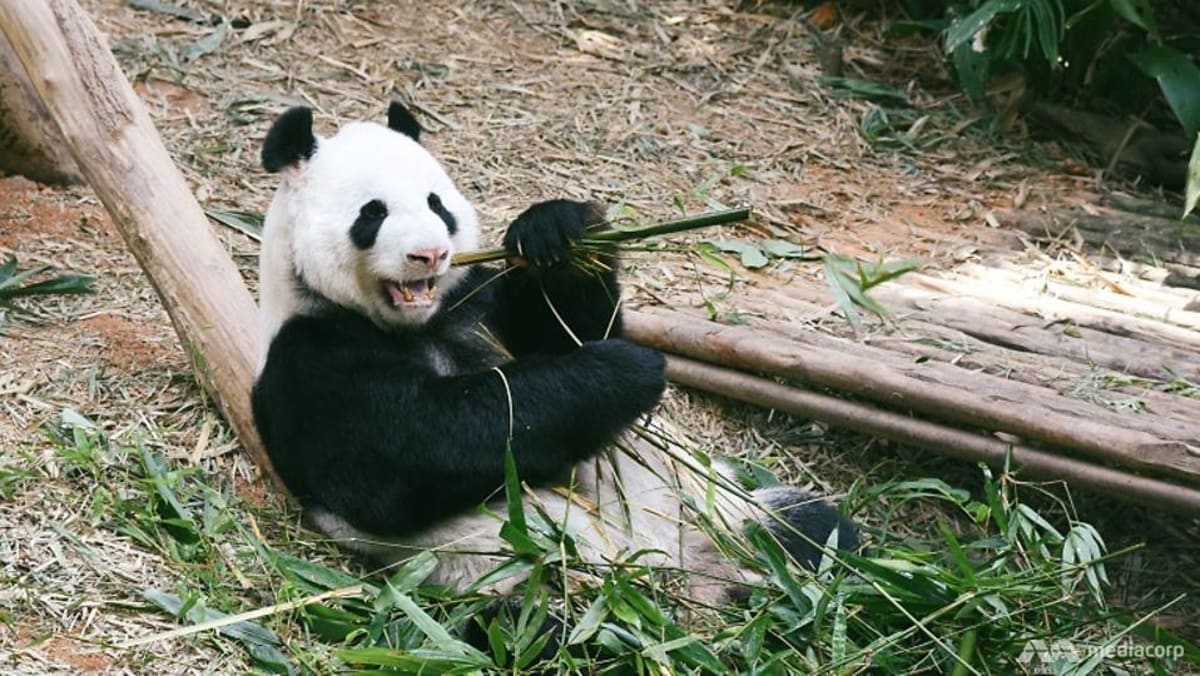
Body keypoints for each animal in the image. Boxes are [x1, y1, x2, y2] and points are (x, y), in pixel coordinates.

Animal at [251, 101, 858, 629]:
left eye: (436, 204)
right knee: (542, 631)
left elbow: (572, 331)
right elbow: (417, 448)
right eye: (372, 213)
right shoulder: (312, 363)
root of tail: (692, 583)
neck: (416, 325)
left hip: (727, 514)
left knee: (819, 535)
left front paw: (556, 233)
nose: (430, 254)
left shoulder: (476, 300)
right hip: (524, 585)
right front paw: (627, 370)